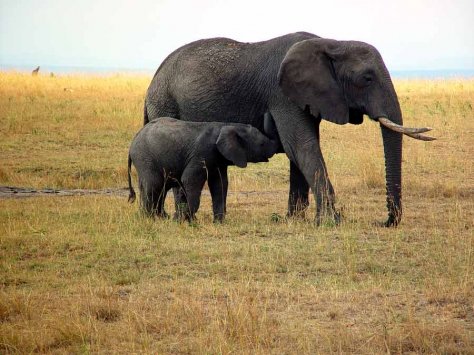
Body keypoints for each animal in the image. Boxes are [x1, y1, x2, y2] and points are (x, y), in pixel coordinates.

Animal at [128, 117, 280, 222]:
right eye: (262, 144)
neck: (227, 125)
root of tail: (132, 143)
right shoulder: (201, 153)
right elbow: (190, 180)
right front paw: (188, 221)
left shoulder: (218, 159)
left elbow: (220, 184)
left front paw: (219, 223)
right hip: (145, 158)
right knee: (154, 186)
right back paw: (150, 219)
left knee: (159, 188)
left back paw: (161, 217)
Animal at [145, 33, 434, 228]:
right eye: (367, 78)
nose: (384, 222)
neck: (331, 42)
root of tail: (153, 80)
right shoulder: (282, 94)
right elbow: (303, 147)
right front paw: (332, 221)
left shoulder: (309, 96)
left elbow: (300, 151)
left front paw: (295, 218)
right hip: (166, 103)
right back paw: (179, 218)